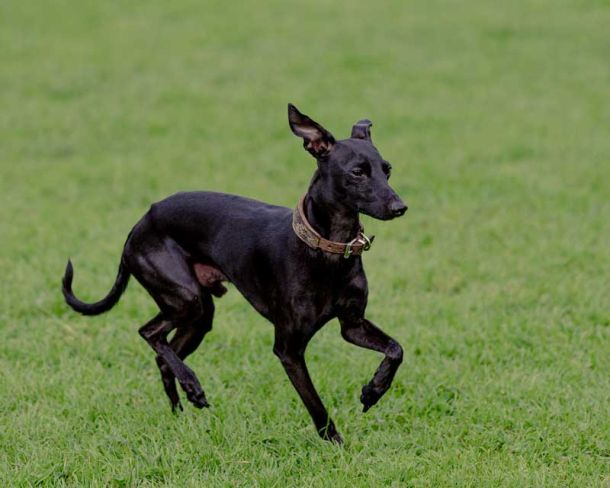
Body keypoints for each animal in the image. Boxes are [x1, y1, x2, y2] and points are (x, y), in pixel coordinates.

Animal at [62, 104, 407, 443]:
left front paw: (373, 391)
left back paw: (179, 410)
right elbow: (315, 403)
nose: (400, 207)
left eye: (387, 169)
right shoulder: (289, 349)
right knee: (149, 333)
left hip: (198, 315)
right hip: (186, 298)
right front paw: (334, 441)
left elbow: (396, 349)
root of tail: (139, 224)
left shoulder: (352, 325)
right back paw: (193, 386)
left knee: (162, 352)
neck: (328, 251)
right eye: (357, 172)